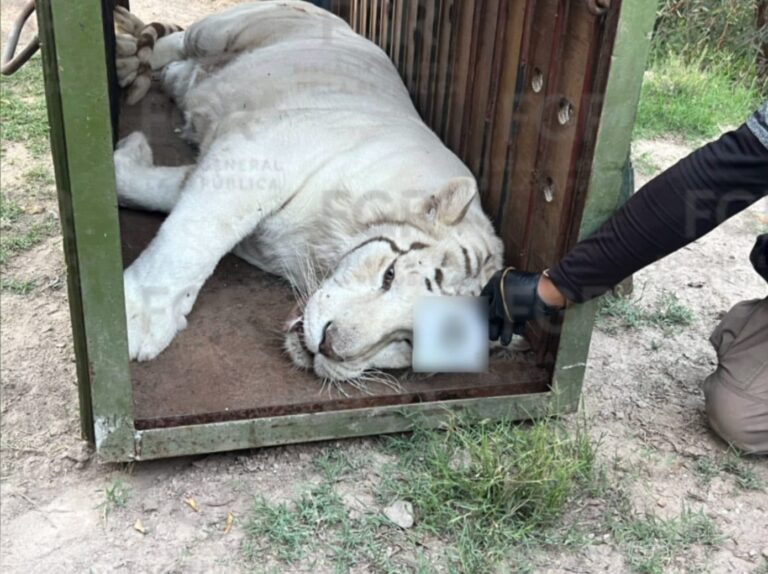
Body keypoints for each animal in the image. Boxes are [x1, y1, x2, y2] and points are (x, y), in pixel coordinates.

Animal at [113, 1, 505, 382]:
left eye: (409, 341)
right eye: (389, 275)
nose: (329, 344)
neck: (323, 245)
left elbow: (161, 194)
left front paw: (126, 157)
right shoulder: (261, 151)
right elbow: (195, 234)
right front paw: (137, 318)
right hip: (216, 31)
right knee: (174, 42)